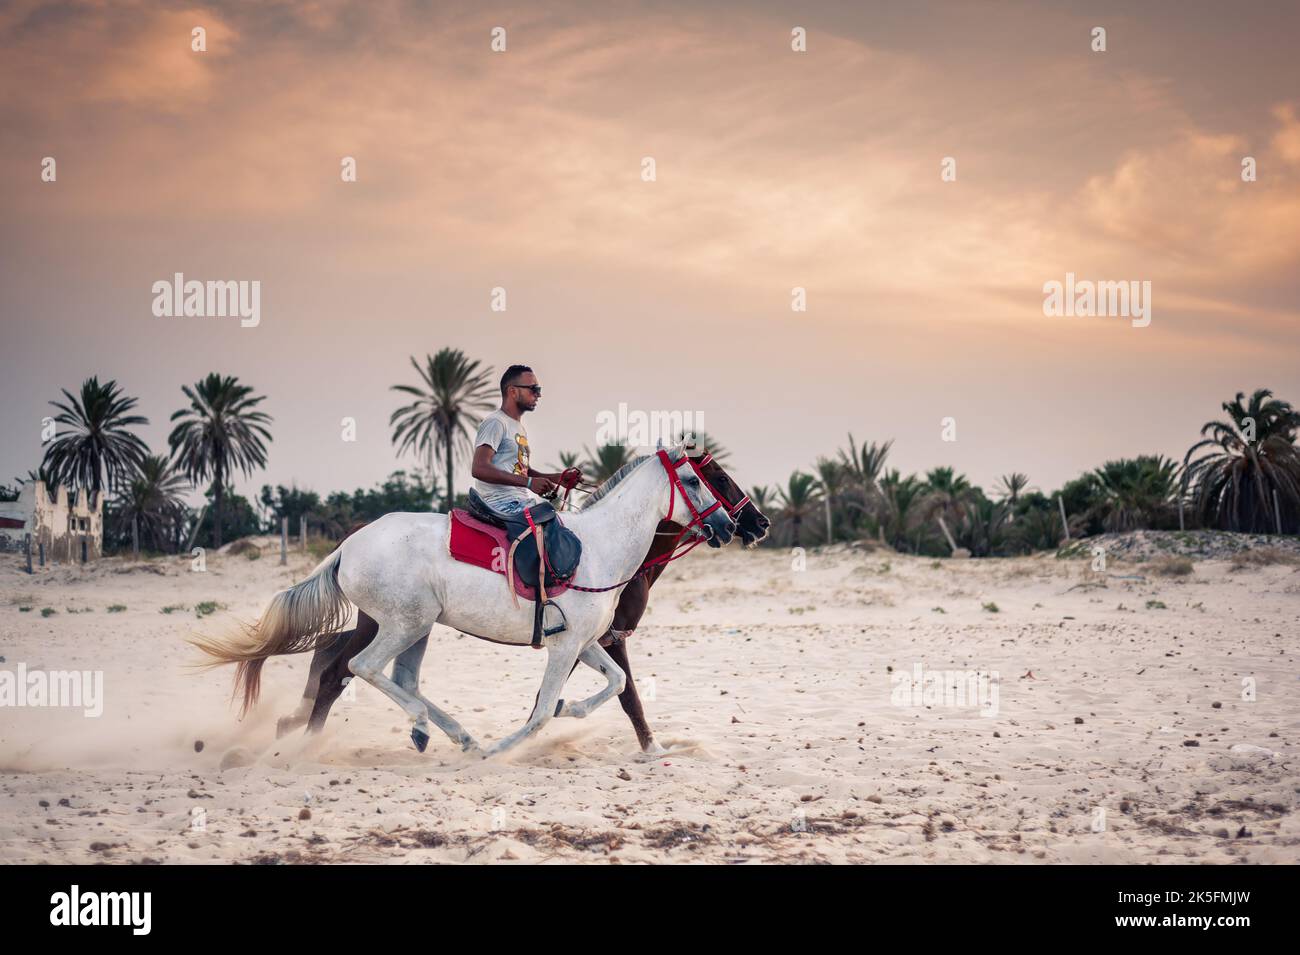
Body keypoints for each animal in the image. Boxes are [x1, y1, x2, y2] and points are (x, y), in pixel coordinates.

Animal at [197, 444, 738, 758]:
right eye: (697, 480)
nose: (731, 526)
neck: (601, 547)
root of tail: (346, 547)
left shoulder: (586, 644)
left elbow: (614, 684)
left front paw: (571, 709)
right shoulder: (565, 648)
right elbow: (543, 711)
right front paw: (504, 750)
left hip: (417, 627)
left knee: (394, 678)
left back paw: (451, 735)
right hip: (405, 624)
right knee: (360, 668)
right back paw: (425, 729)